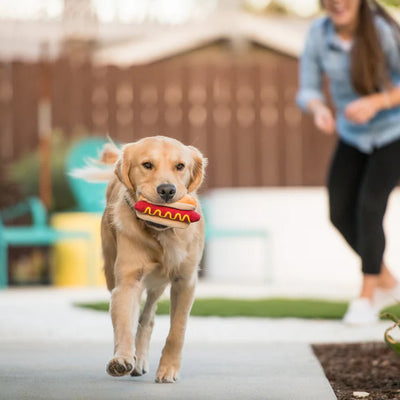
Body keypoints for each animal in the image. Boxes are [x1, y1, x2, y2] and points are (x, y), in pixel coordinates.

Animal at [78, 136, 209, 382]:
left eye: (180, 166)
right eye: (147, 165)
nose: (167, 190)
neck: (162, 233)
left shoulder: (185, 281)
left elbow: (177, 330)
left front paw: (168, 369)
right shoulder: (128, 281)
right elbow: (124, 324)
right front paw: (122, 359)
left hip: (158, 285)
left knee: (147, 318)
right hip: (112, 272)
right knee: (136, 318)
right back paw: (135, 360)